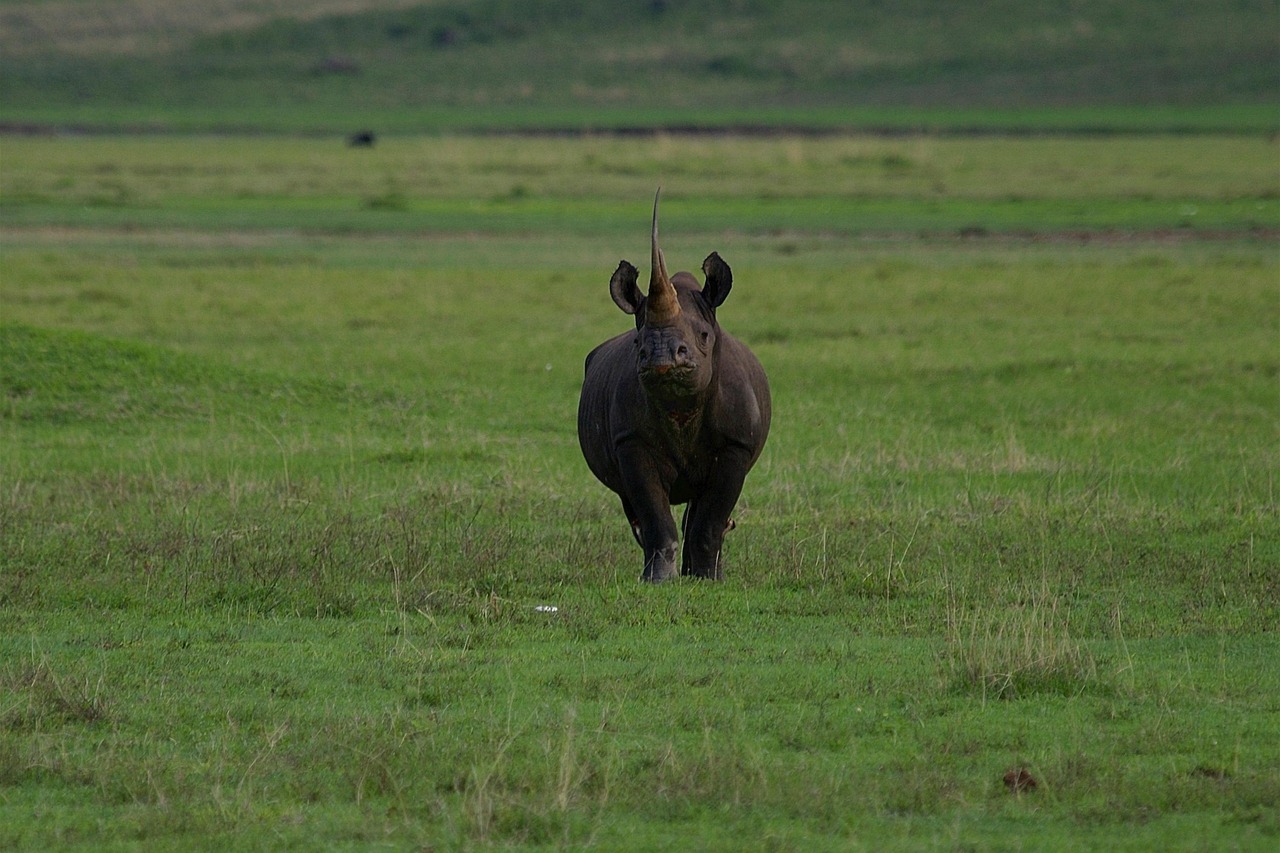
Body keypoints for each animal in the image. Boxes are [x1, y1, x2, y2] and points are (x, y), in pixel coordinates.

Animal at [578, 190, 771, 581]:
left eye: (704, 336)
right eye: (639, 342)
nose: (662, 354)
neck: (681, 406)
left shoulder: (736, 444)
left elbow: (710, 519)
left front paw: (707, 579)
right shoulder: (630, 441)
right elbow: (654, 516)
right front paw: (658, 580)